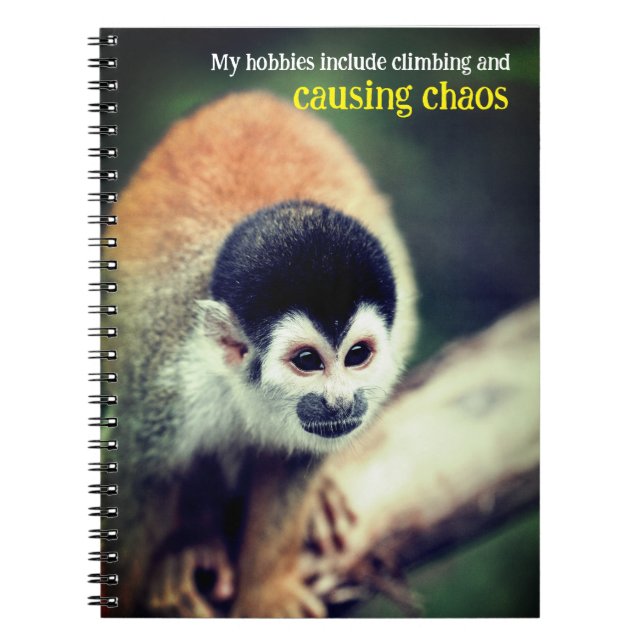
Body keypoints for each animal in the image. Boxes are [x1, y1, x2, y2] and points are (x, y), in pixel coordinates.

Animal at [102, 91, 418, 617]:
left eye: (357, 355)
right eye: (307, 362)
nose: (339, 401)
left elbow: (294, 465)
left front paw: (266, 591)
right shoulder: (162, 385)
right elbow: (138, 477)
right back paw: (193, 544)